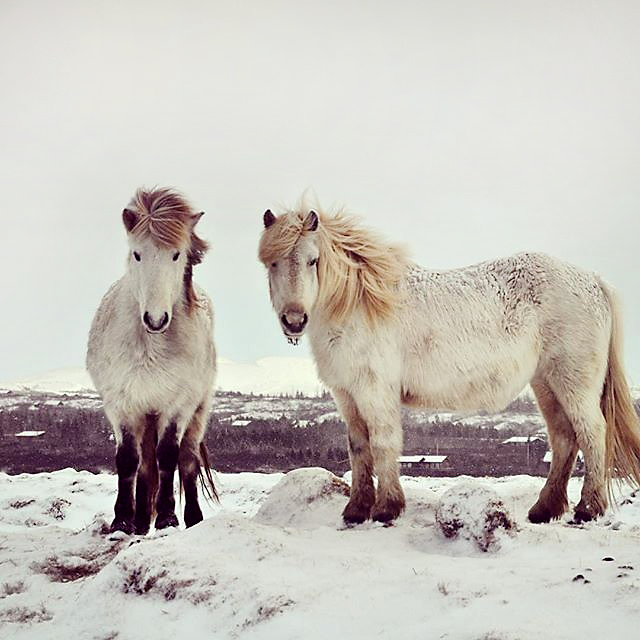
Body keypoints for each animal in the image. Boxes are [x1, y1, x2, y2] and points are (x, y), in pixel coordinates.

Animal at [87, 186, 218, 536]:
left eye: (176, 255)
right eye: (137, 254)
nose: (156, 319)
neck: (150, 344)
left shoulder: (178, 406)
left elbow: (168, 457)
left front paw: (168, 517)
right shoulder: (122, 404)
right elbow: (128, 460)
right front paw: (122, 520)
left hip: (196, 413)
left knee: (186, 461)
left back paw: (191, 518)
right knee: (145, 464)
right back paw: (141, 520)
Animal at [258, 204, 640, 524]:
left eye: (313, 260)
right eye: (272, 263)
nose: (294, 320)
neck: (359, 304)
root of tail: (593, 280)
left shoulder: (375, 391)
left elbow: (383, 444)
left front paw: (386, 509)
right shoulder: (346, 394)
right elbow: (358, 447)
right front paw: (355, 510)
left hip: (573, 381)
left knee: (592, 433)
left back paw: (588, 509)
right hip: (545, 384)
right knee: (563, 439)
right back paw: (543, 510)